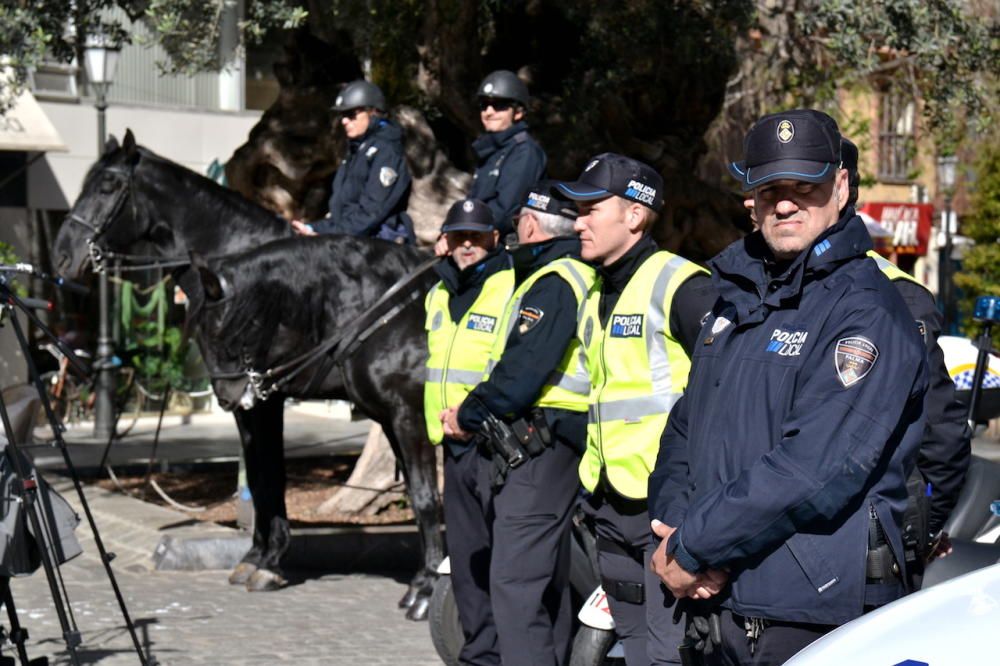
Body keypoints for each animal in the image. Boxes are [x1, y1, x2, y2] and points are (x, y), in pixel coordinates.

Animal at [52, 131, 444, 616]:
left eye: (107, 185)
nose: (61, 256)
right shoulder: (246, 397)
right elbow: (259, 477)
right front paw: (258, 555)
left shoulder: (264, 398)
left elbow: (269, 475)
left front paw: (269, 561)